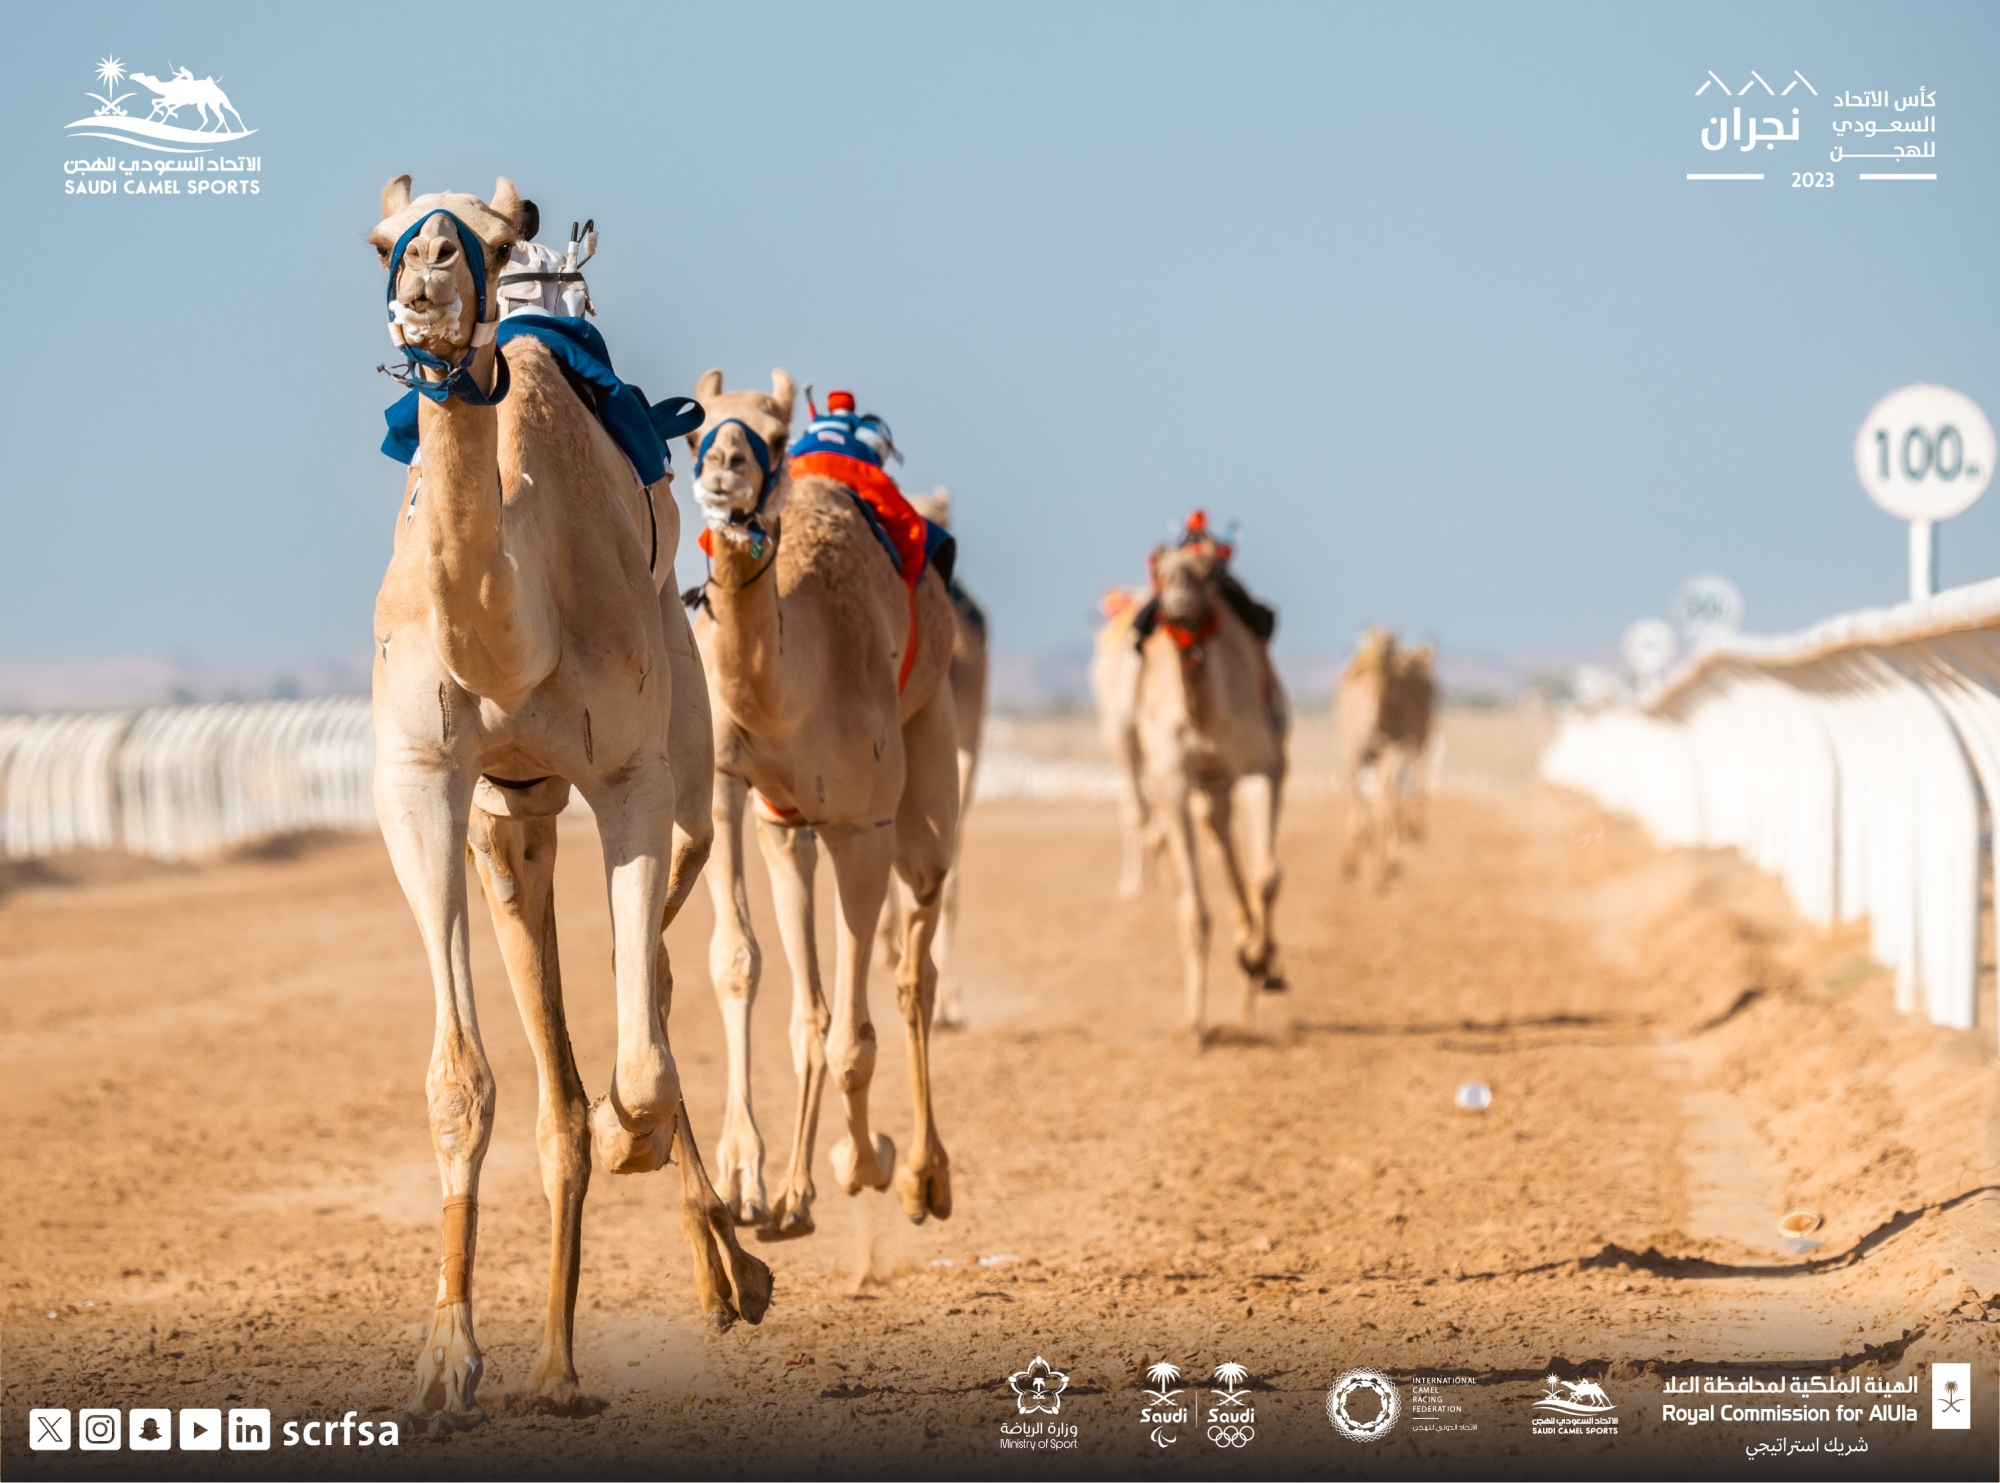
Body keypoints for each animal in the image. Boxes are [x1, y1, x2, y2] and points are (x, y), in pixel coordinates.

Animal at [364, 176, 768, 1439]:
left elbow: (640, 1071)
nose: (427, 280)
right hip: (515, 824)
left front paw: (725, 1243)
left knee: (660, 997)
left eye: (491, 244)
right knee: (560, 1080)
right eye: (380, 237)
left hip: (687, 761)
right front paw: (446, 1360)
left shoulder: (636, 775)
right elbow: (461, 1082)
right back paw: (553, 1359)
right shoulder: (423, 783)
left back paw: (726, 1269)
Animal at [688, 371, 960, 1239]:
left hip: (925, 754)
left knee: (912, 968)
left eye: (773, 438)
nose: (725, 469)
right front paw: (749, 1180)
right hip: (788, 827)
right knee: (817, 1005)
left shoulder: (861, 822)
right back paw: (797, 1188)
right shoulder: (724, 783)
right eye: (692, 428)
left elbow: (855, 1035)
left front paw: (865, 1161)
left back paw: (920, 1174)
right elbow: (739, 963)